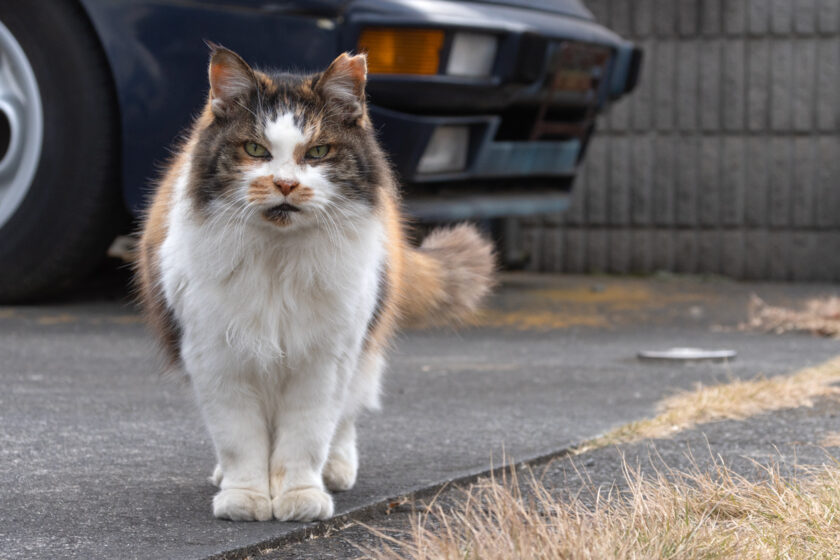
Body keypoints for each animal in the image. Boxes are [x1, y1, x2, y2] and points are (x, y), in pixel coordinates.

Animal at [135, 46, 496, 524]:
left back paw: (337, 470)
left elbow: (306, 438)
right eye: (255, 150)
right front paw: (245, 496)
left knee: (346, 419)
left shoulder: (324, 361)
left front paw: (300, 495)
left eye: (319, 151)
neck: (278, 259)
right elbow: (239, 440)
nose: (286, 184)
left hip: (362, 350)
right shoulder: (218, 358)